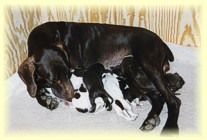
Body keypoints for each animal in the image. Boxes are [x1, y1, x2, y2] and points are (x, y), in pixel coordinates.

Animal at [18, 21, 181, 135]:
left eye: (68, 72)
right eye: (54, 79)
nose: (71, 96)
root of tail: (160, 41)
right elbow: (34, 88)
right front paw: (44, 98)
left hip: (148, 64)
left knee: (173, 100)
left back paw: (169, 127)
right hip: (139, 76)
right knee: (158, 98)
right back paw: (151, 119)